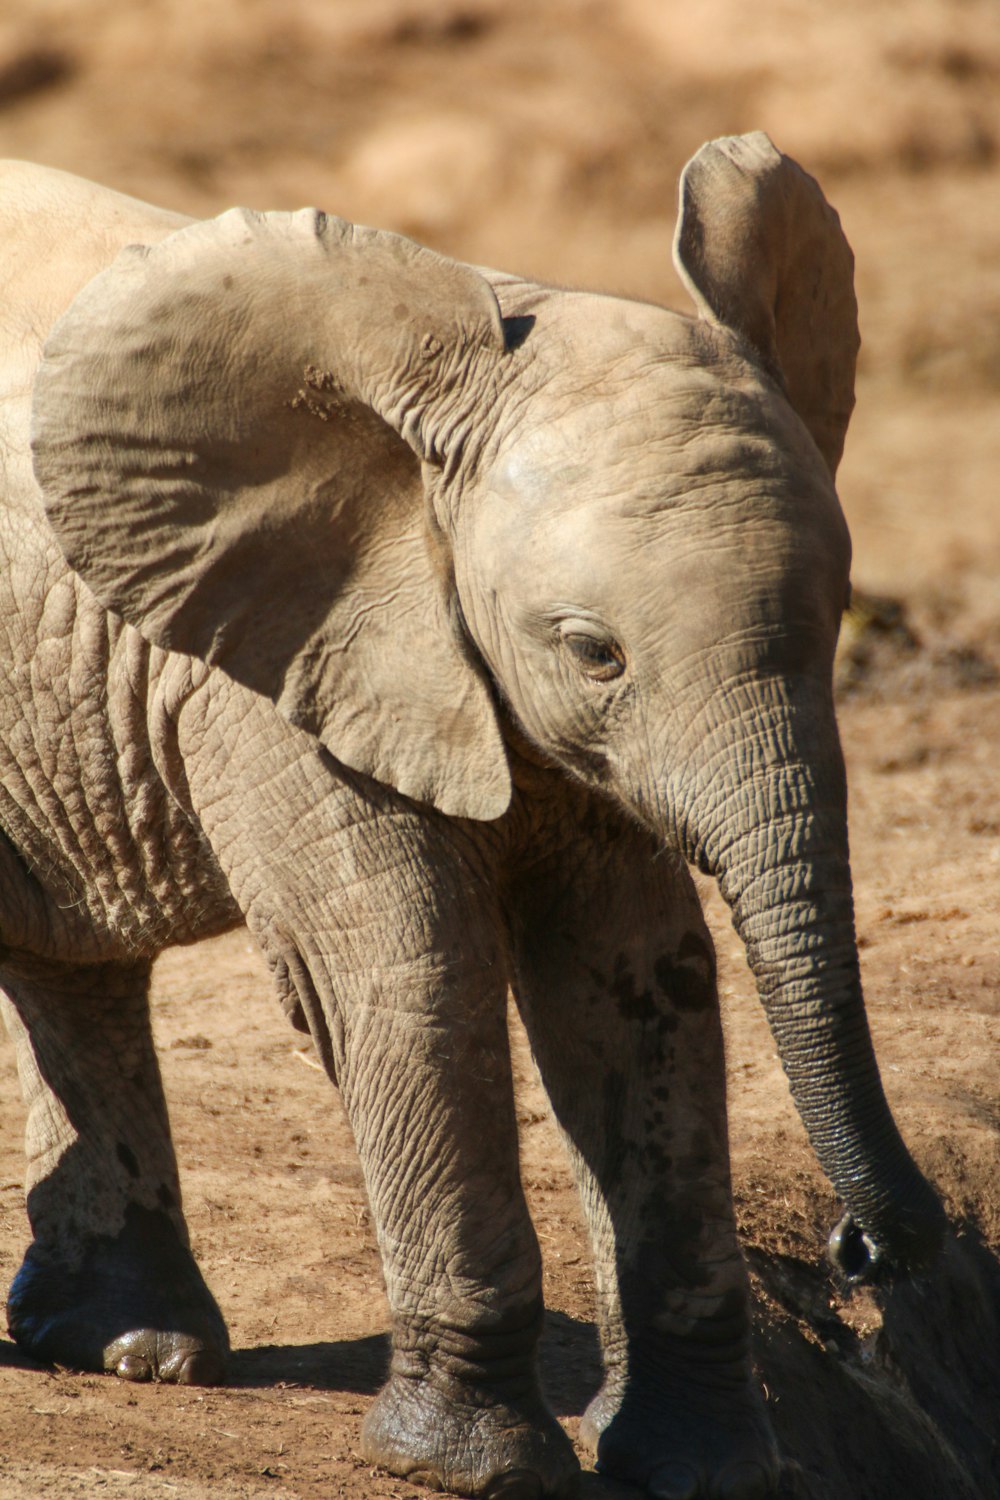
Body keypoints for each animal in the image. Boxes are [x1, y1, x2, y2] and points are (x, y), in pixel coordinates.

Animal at [0, 135, 941, 1494]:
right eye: (595, 652)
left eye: (834, 623)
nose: (866, 1250)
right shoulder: (281, 662)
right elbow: (406, 966)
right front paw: (463, 1465)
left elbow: (636, 973)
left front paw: (696, 1467)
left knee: (77, 971)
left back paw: (135, 1349)